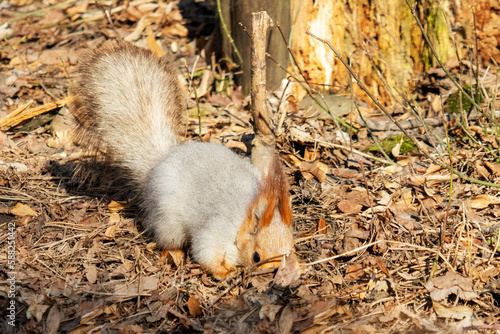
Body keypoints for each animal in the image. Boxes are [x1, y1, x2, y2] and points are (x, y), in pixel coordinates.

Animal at [70, 43, 296, 280]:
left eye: (291, 252)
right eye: (256, 256)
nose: (272, 274)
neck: (245, 219)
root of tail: (161, 162)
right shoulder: (218, 232)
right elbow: (205, 252)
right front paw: (226, 271)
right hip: (168, 219)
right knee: (168, 239)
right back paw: (175, 254)